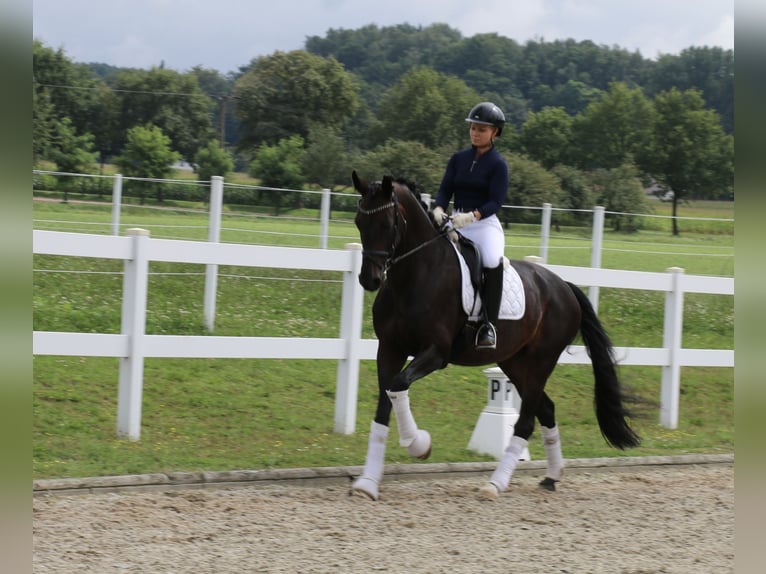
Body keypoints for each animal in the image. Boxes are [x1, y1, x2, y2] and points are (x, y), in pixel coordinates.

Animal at [352, 170, 640, 500]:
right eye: (359, 222)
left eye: (387, 224)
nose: (369, 279)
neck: (415, 276)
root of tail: (563, 286)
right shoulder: (389, 348)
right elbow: (385, 404)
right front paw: (367, 483)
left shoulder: (435, 353)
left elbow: (398, 386)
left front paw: (419, 444)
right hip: (514, 362)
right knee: (546, 409)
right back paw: (551, 476)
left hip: (541, 361)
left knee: (526, 421)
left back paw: (495, 484)